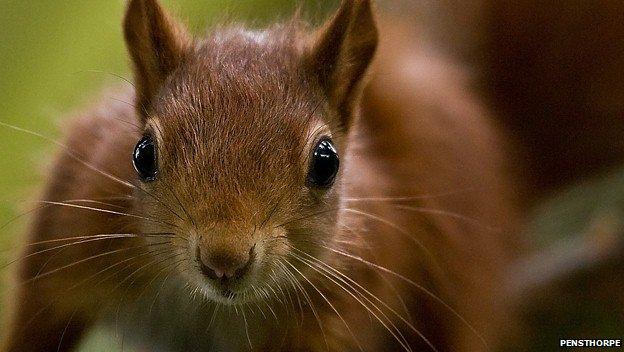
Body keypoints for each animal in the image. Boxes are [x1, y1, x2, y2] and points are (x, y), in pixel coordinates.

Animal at [1, 0, 520, 352]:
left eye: (327, 163)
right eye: (142, 154)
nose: (223, 260)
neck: (206, 305)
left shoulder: (340, 306)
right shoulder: (73, 227)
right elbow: (38, 314)